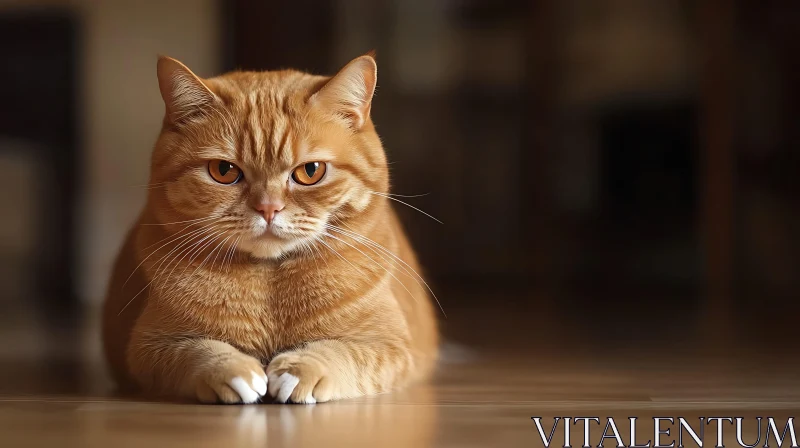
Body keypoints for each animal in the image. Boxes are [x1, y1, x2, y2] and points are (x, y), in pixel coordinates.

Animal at [101, 54, 440, 404]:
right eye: (223, 171)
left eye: (311, 171)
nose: (268, 207)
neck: (270, 286)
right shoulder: (150, 346)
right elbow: (195, 352)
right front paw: (232, 369)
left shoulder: (391, 346)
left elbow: (343, 354)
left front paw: (302, 368)